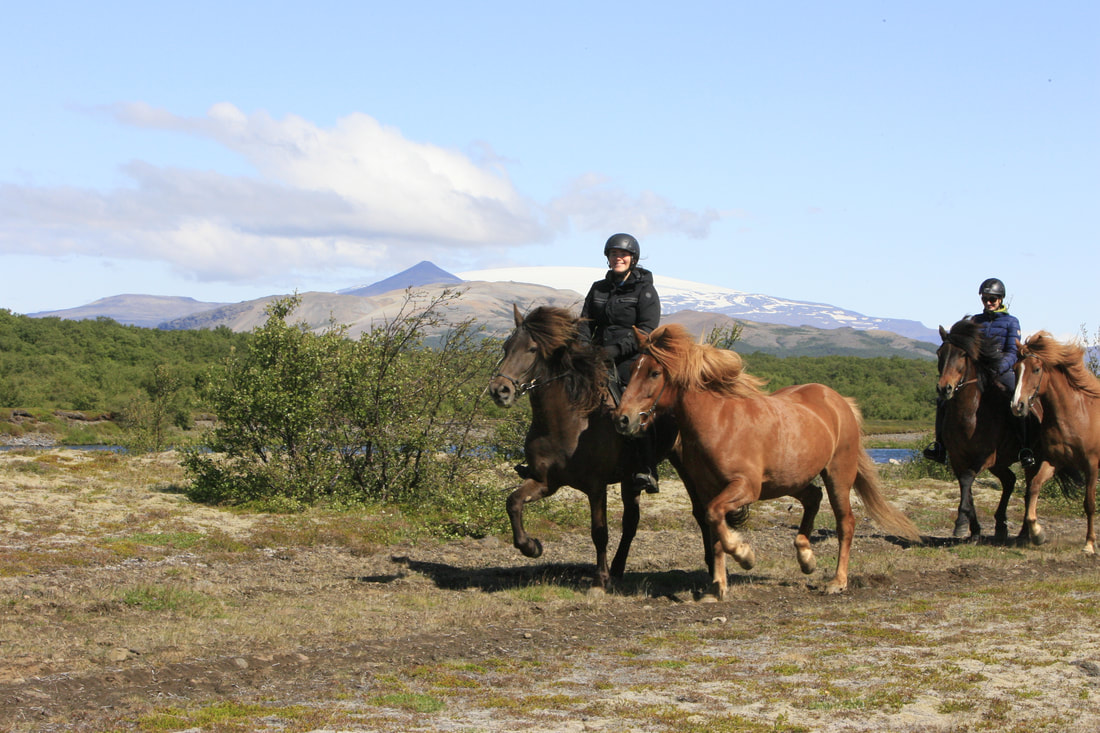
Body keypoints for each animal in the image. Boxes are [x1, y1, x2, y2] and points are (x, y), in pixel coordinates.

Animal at [487, 305, 683, 590]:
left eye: (533, 349)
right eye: (506, 346)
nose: (499, 391)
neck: (568, 420)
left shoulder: (595, 486)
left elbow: (599, 531)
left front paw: (600, 578)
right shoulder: (545, 481)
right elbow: (513, 502)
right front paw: (531, 547)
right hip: (628, 479)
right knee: (631, 522)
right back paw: (617, 569)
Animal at [612, 323, 921, 599]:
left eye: (654, 372)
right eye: (632, 368)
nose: (623, 419)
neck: (719, 421)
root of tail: (840, 401)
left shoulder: (746, 488)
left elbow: (715, 517)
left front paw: (745, 555)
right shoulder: (707, 489)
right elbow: (713, 528)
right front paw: (717, 587)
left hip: (837, 476)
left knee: (846, 523)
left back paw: (837, 581)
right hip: (790, 480)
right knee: (813, 497)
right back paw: (806, 557)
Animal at [935, 319, 1023, 541]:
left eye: (963, 354)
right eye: (940, 353)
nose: (944, 388)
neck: (970, 415)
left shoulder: (985, 457)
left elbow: (967, 479)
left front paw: (960, 522)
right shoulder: (958, 457)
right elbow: (966, 487)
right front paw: (973, 530)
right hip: (1000, 463)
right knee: (1010, 481)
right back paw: (1001, 526)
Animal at [1010, 331, 1100, 553]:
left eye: (1036, 369)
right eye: (1015, 369)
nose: (1017, 406)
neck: (1076, 414)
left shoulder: (1091, 466)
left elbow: (1089, 504)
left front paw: (1089, 544)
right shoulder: (1054, 461)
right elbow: (1034, 486)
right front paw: (1037, 534)